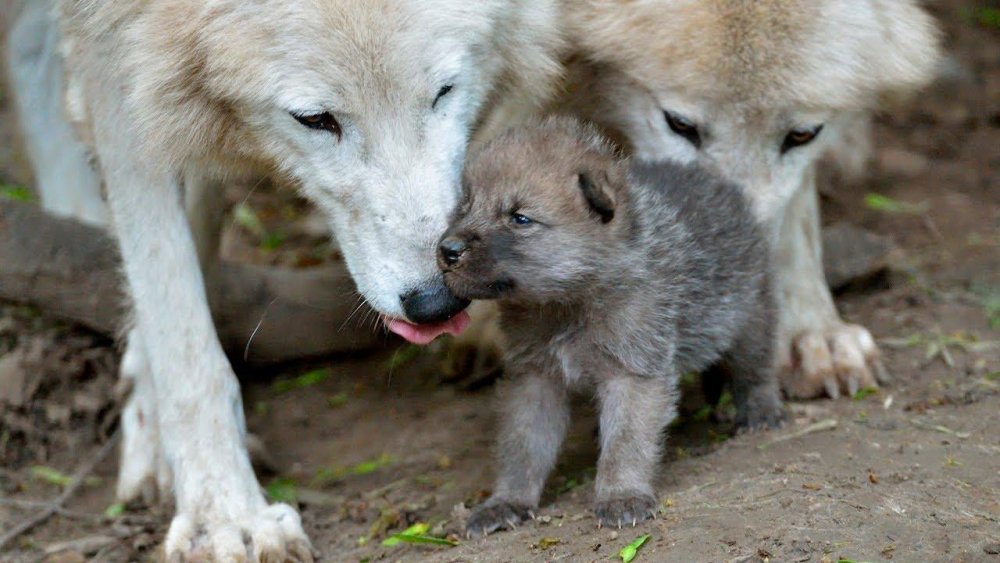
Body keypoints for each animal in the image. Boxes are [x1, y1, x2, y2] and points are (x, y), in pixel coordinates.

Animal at [5, 2, 564, 560]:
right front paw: (225, 515)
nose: (437, 301)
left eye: (444, 91)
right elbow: (179, 326)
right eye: (314, 119)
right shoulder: (116, 47)